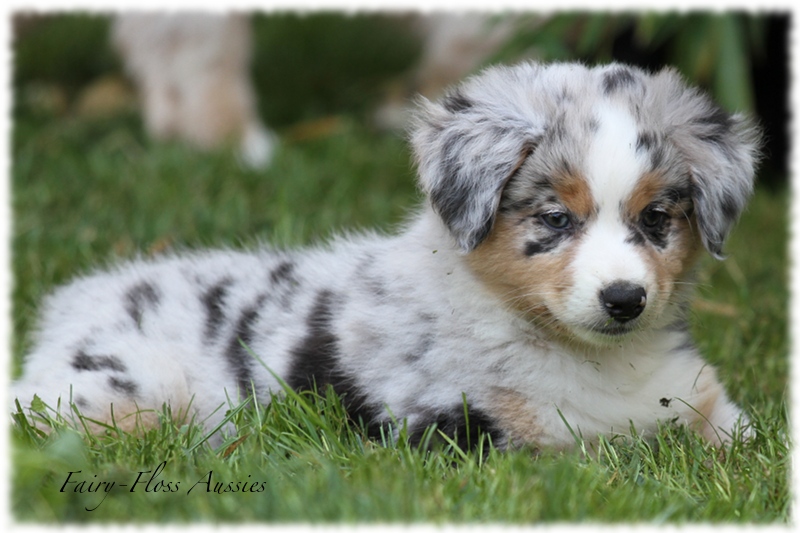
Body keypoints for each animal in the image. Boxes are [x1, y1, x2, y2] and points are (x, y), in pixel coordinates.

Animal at [14, 63, 764, 454]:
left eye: (656, 218)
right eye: (555, 219)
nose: (624, 300)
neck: (597, 359)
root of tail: (71, 306)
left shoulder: (702, 398)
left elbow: (741, 435)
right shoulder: (468, 429)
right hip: (130, 391)